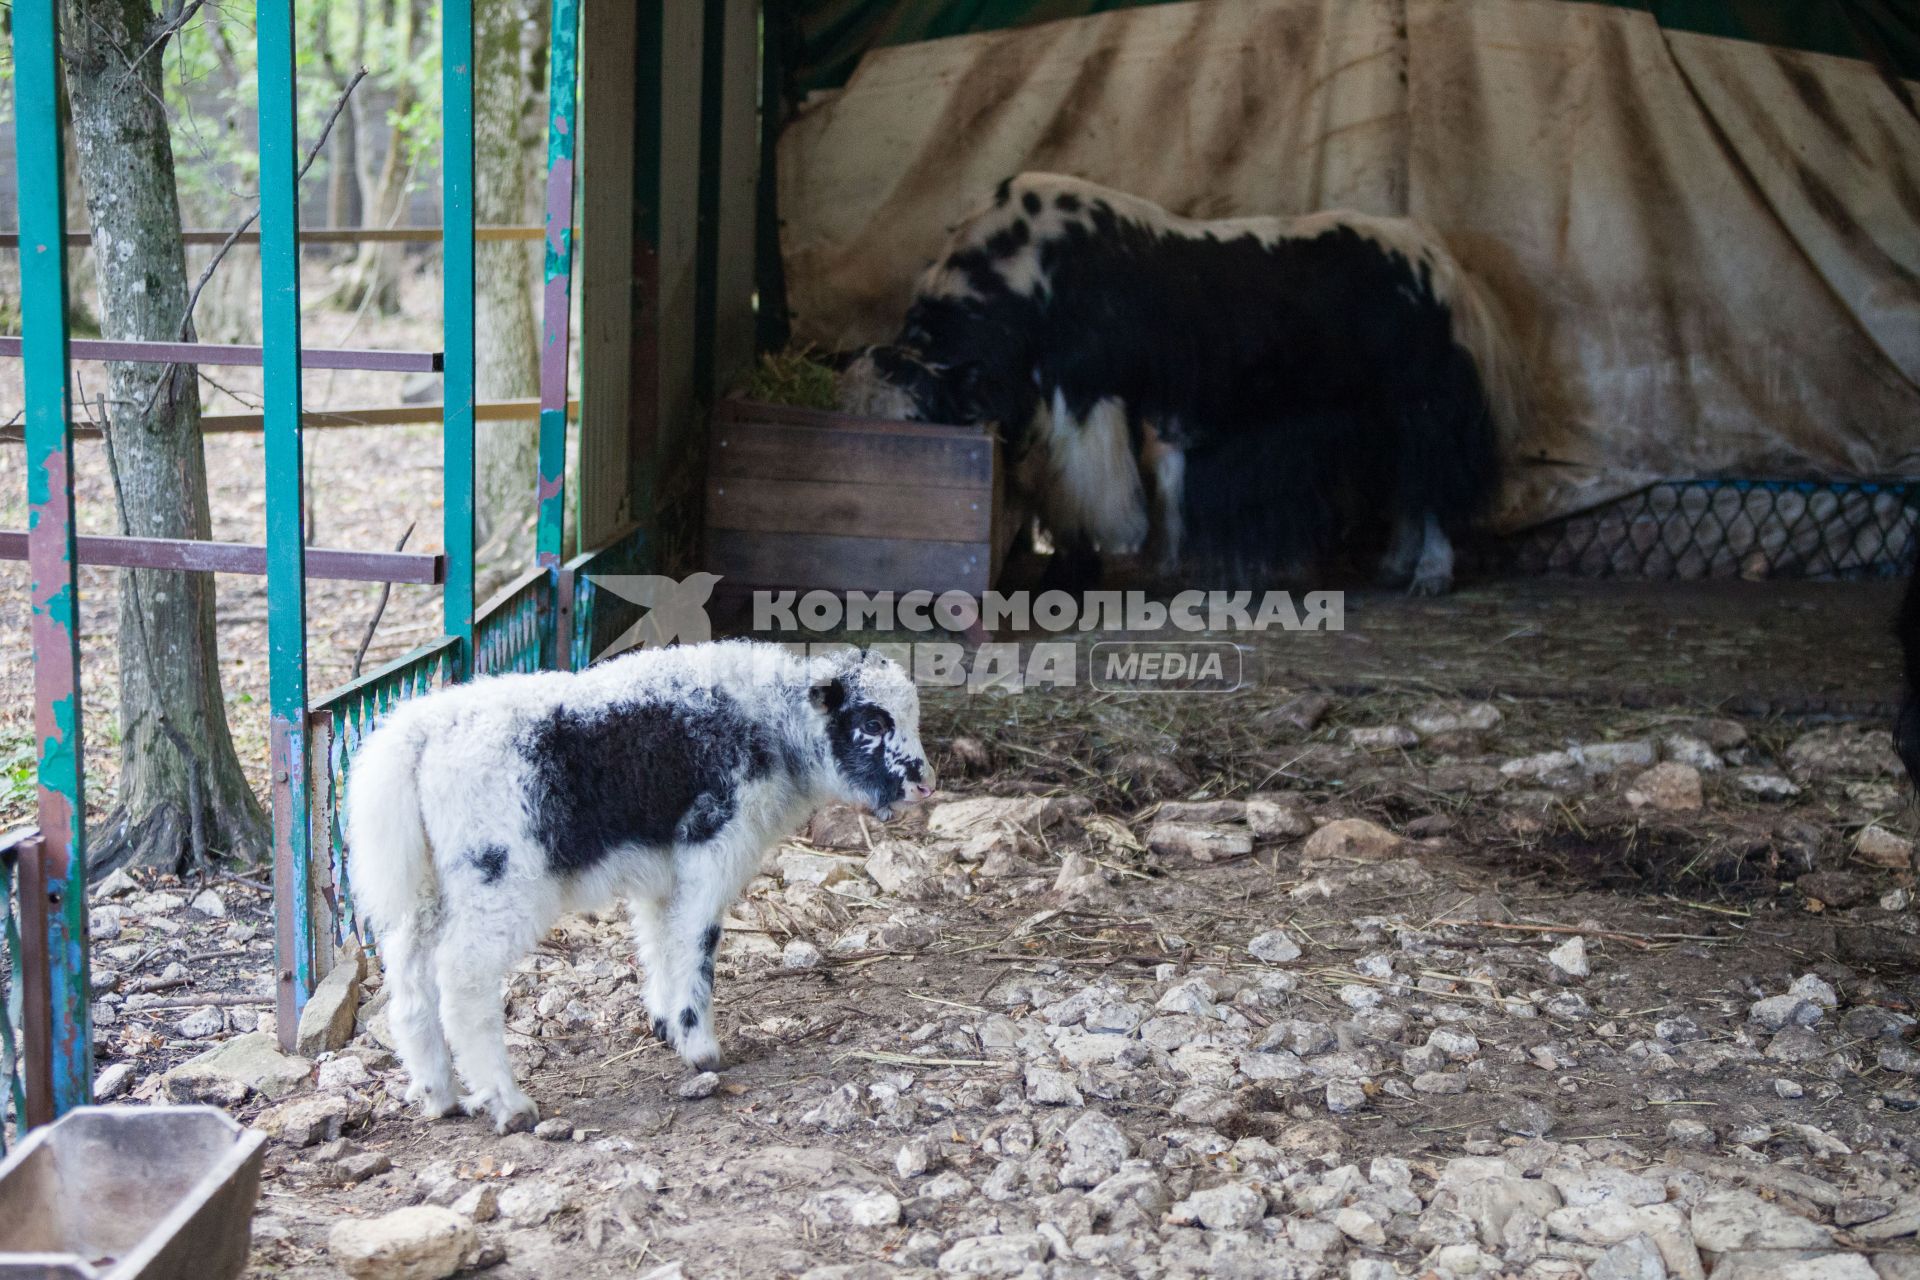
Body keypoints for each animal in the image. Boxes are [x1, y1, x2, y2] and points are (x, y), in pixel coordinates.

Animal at [357, 644, 940, 1136]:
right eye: (872, 722)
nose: (925, 784)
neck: (772, 728)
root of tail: (419, 735)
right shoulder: (712, 844)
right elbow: (697, 944)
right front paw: (700, 1049)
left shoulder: (663, 872)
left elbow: (662, 939)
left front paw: (665, 1023)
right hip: (497, 877)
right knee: (463, 978)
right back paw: (509, 1104)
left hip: (429, 885)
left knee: (409, 977)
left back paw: (439, 1094)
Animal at [848, 171, 1520, 594]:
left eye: (918, 419)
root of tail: (1437, 257)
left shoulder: (1083, 399)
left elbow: (1087, 494)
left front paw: (1072, 576)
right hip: (1379, 414)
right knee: (1406, 484)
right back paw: (1394, 567)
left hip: (1423, 403)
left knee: (1432, 486)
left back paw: (1430, 575)